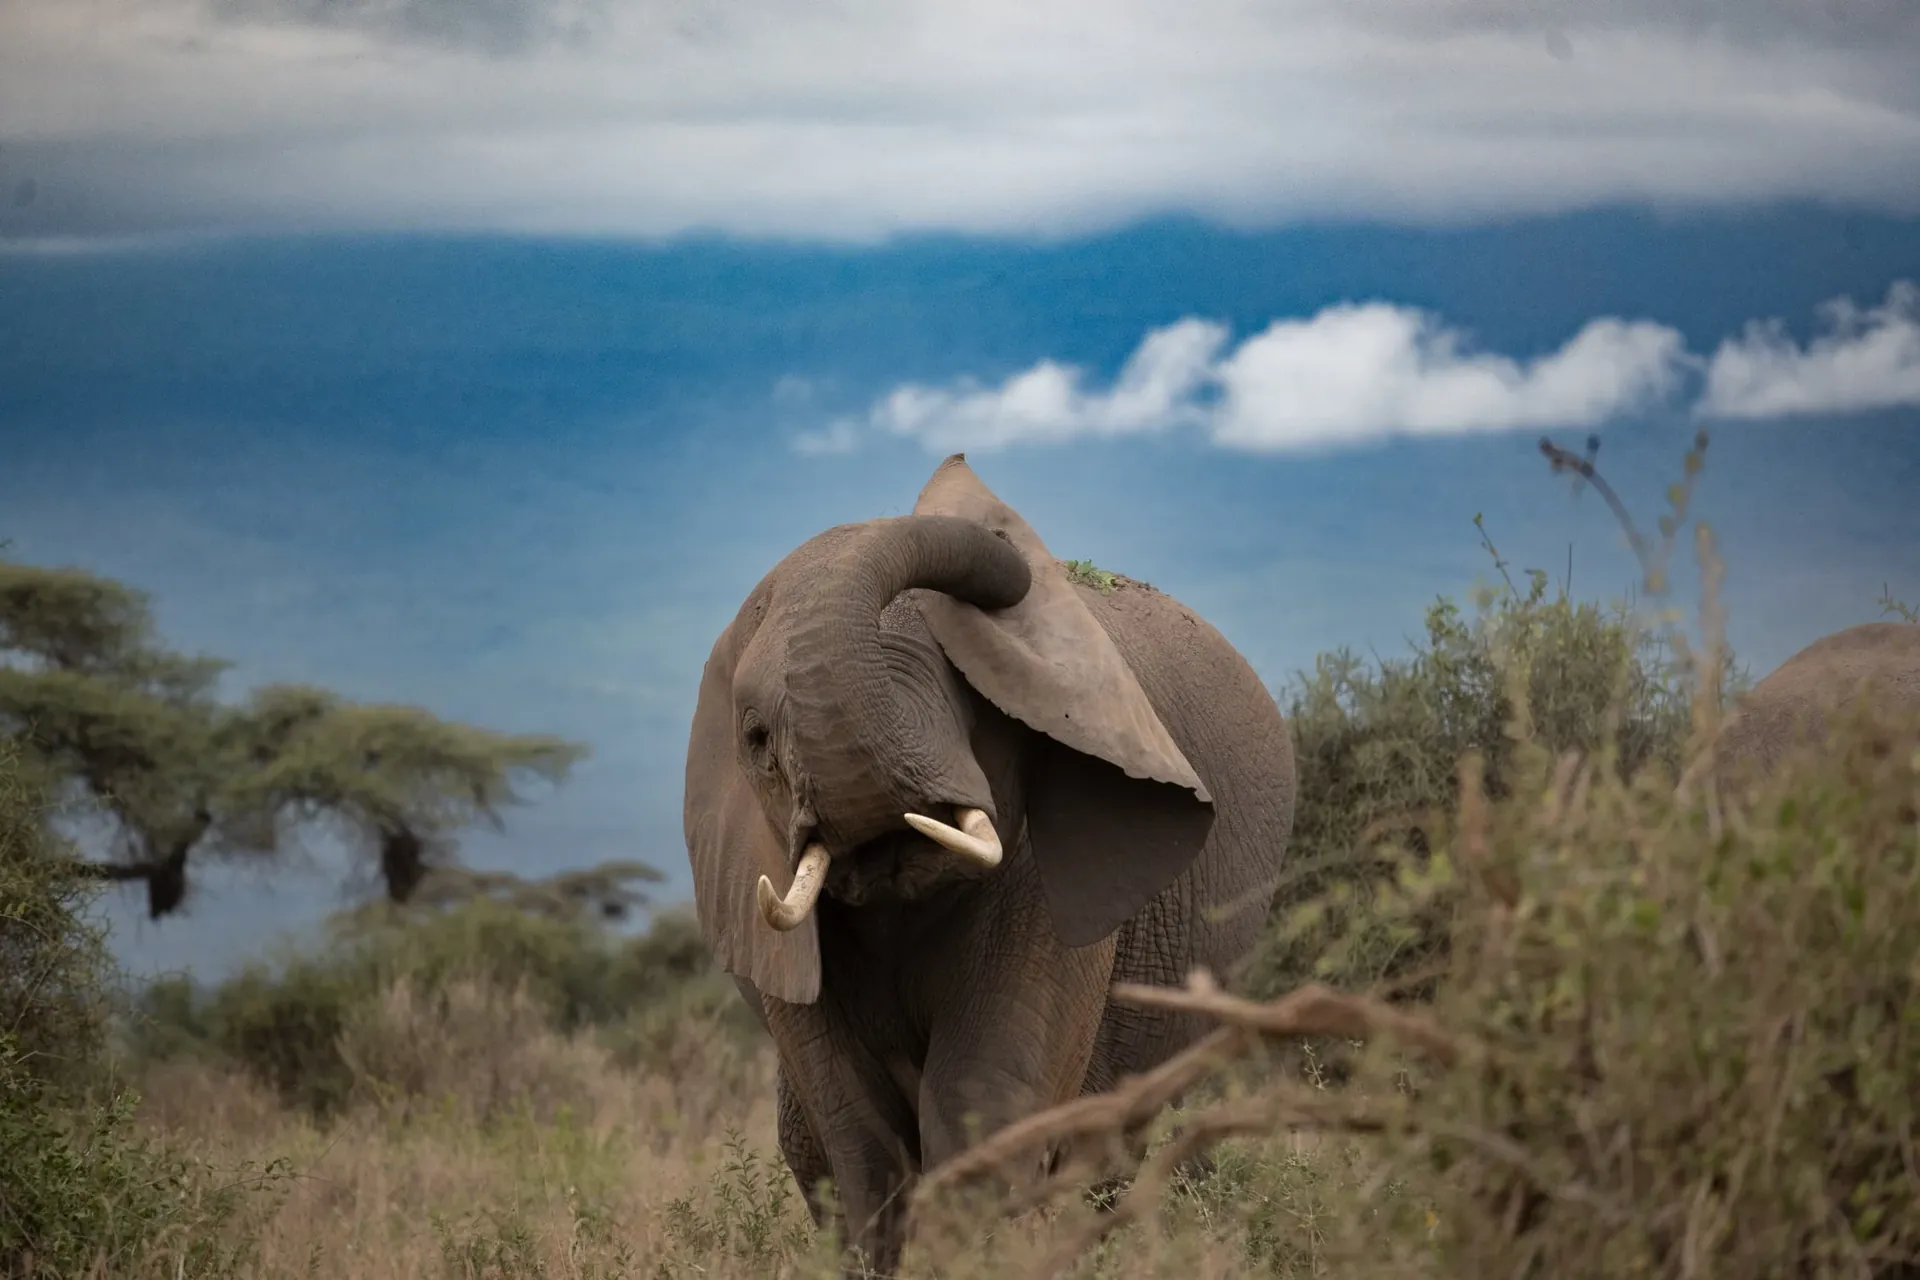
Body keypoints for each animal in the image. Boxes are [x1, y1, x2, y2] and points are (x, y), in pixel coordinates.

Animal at [683, 454, 1297, 1275]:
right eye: (755, 741)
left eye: (965, 695)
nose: (959, 469)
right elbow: (854, 1118)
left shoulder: (1044, 864)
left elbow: (980, 1090)